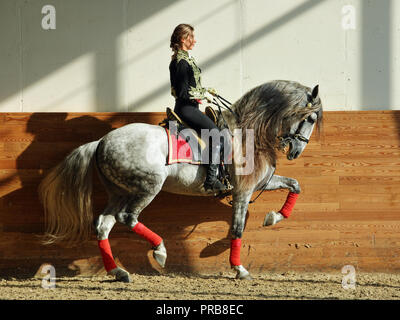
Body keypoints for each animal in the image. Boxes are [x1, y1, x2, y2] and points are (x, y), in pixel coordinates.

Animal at [39, 80, 324, 282]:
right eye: (310, 118)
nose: (296, 151)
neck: (250, 131)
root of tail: (101, 142)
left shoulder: (261, 183)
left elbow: (295, 184)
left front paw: (273, 217)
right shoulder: (243, 190)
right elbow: (237, 228)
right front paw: (239, 269)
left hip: (118, 192)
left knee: (103, 224)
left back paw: (119, 273)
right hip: (148, 187)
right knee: (127, 217)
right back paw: (160, 252)